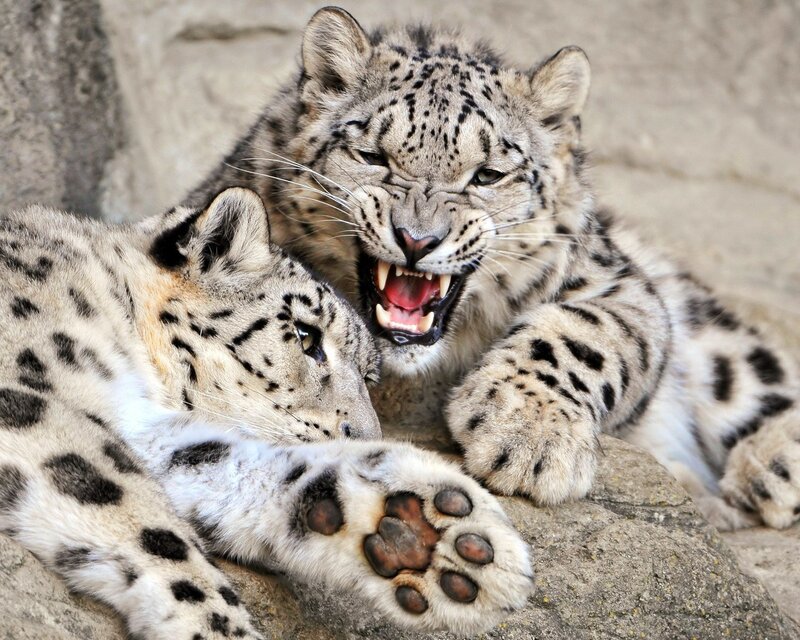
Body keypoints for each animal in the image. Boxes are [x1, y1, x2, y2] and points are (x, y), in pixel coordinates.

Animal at [0, 186, 534, 639]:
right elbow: (133, 509)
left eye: (369, 376)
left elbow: (219, 459)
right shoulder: (33, 401)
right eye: (304, 334)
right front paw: (221, 628)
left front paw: (428, 534)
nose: (361, 432)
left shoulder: (146, 428)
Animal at [189, 6, 800, 532]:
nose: (416, 239)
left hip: (708, 334)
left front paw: (528, 437)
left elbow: (582, 332)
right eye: (372, 157)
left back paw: (769, 473)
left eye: (487, 174)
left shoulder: (622, 285)